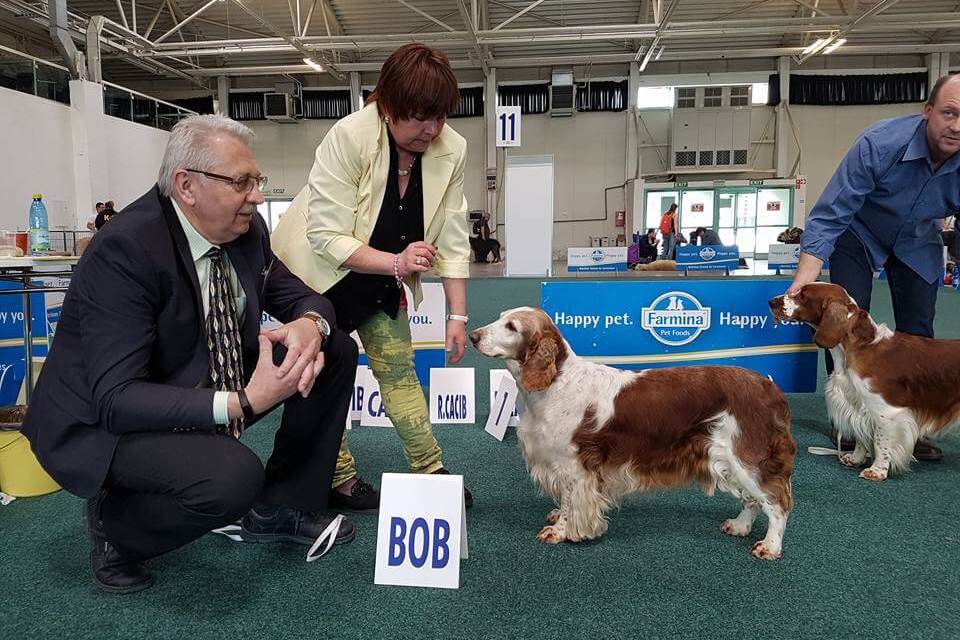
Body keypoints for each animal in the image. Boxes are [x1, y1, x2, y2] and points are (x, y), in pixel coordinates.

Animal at [470, 308, 796, 556]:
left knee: (776, 502)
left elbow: (571, 500)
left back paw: (770, 546)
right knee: (753, 499)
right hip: (729, 458)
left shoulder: (573, 464)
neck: (557, 381)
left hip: (746, 456)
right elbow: (564, 499)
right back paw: (739, 526)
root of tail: (770, 387)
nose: (473, 336)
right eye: (500, 317)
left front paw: (560, 530)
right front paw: (559, 517)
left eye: (511, 326)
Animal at [772, 284, 960, 480]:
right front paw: (855, 459)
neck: (858, 347)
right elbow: (861, 437)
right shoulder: (860, 405)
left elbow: (880, 442)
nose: (771, 302)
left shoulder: (886, 411)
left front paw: (877, 471)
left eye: (802, 295)